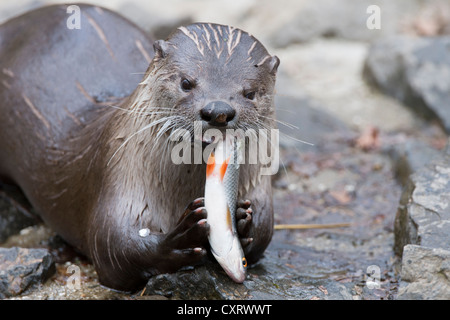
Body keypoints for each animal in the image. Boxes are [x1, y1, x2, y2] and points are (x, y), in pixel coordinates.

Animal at [0, 3, 280, 292]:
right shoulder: (118, 179)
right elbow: (115, 247)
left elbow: (265, 233)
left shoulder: (259, 188)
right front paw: (181, 238)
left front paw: (244, 221)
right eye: (186, 82)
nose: (218, 111)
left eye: (250, 92)